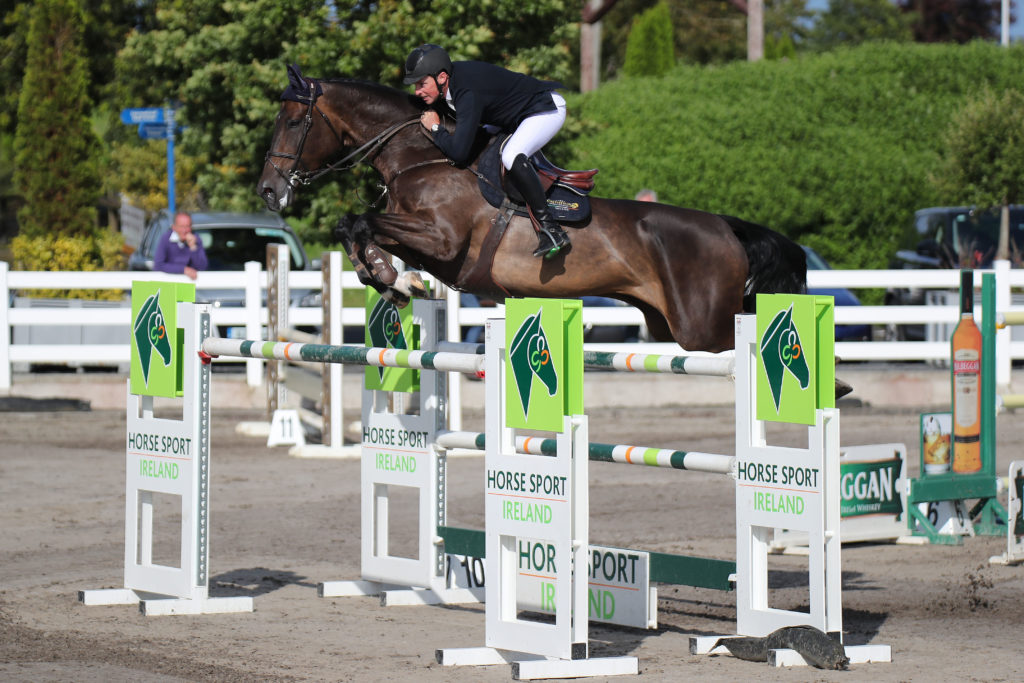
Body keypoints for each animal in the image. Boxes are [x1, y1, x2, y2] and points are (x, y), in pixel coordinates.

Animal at [258, 64, 806, 356]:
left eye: (294, 122)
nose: (268, 192)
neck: (422, 155)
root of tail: (726, 228)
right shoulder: (425, 242)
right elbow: (356, 227)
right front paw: (392, 279)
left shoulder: (442, 240)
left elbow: (360, 221)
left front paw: (392, 278)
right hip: (667, 324)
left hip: (704, 329)